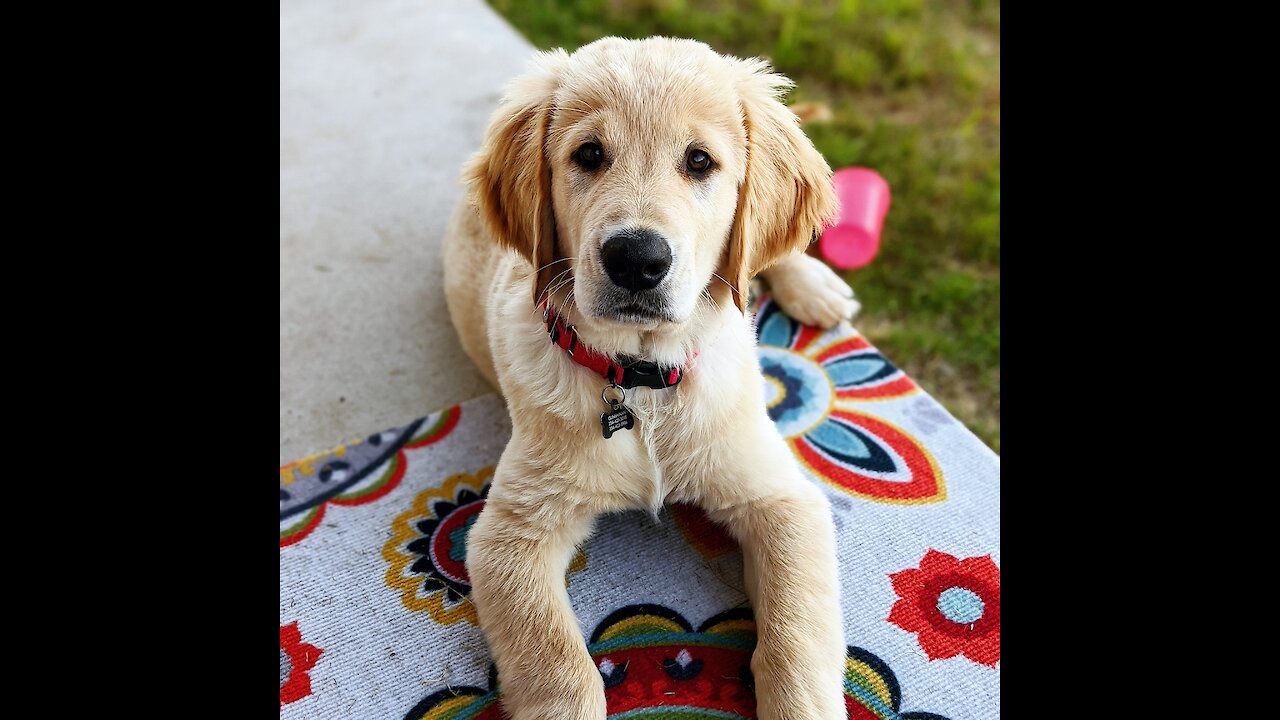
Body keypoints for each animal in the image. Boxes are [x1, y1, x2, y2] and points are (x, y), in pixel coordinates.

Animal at [445, 36, 855, 717]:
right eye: (588, 154)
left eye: (699, 161)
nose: (636, 259)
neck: (641, 380)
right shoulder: (510, 534)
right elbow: (559, 668)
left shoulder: (780, 499)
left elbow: (798, 638)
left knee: (761, 259)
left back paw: (814, 286)